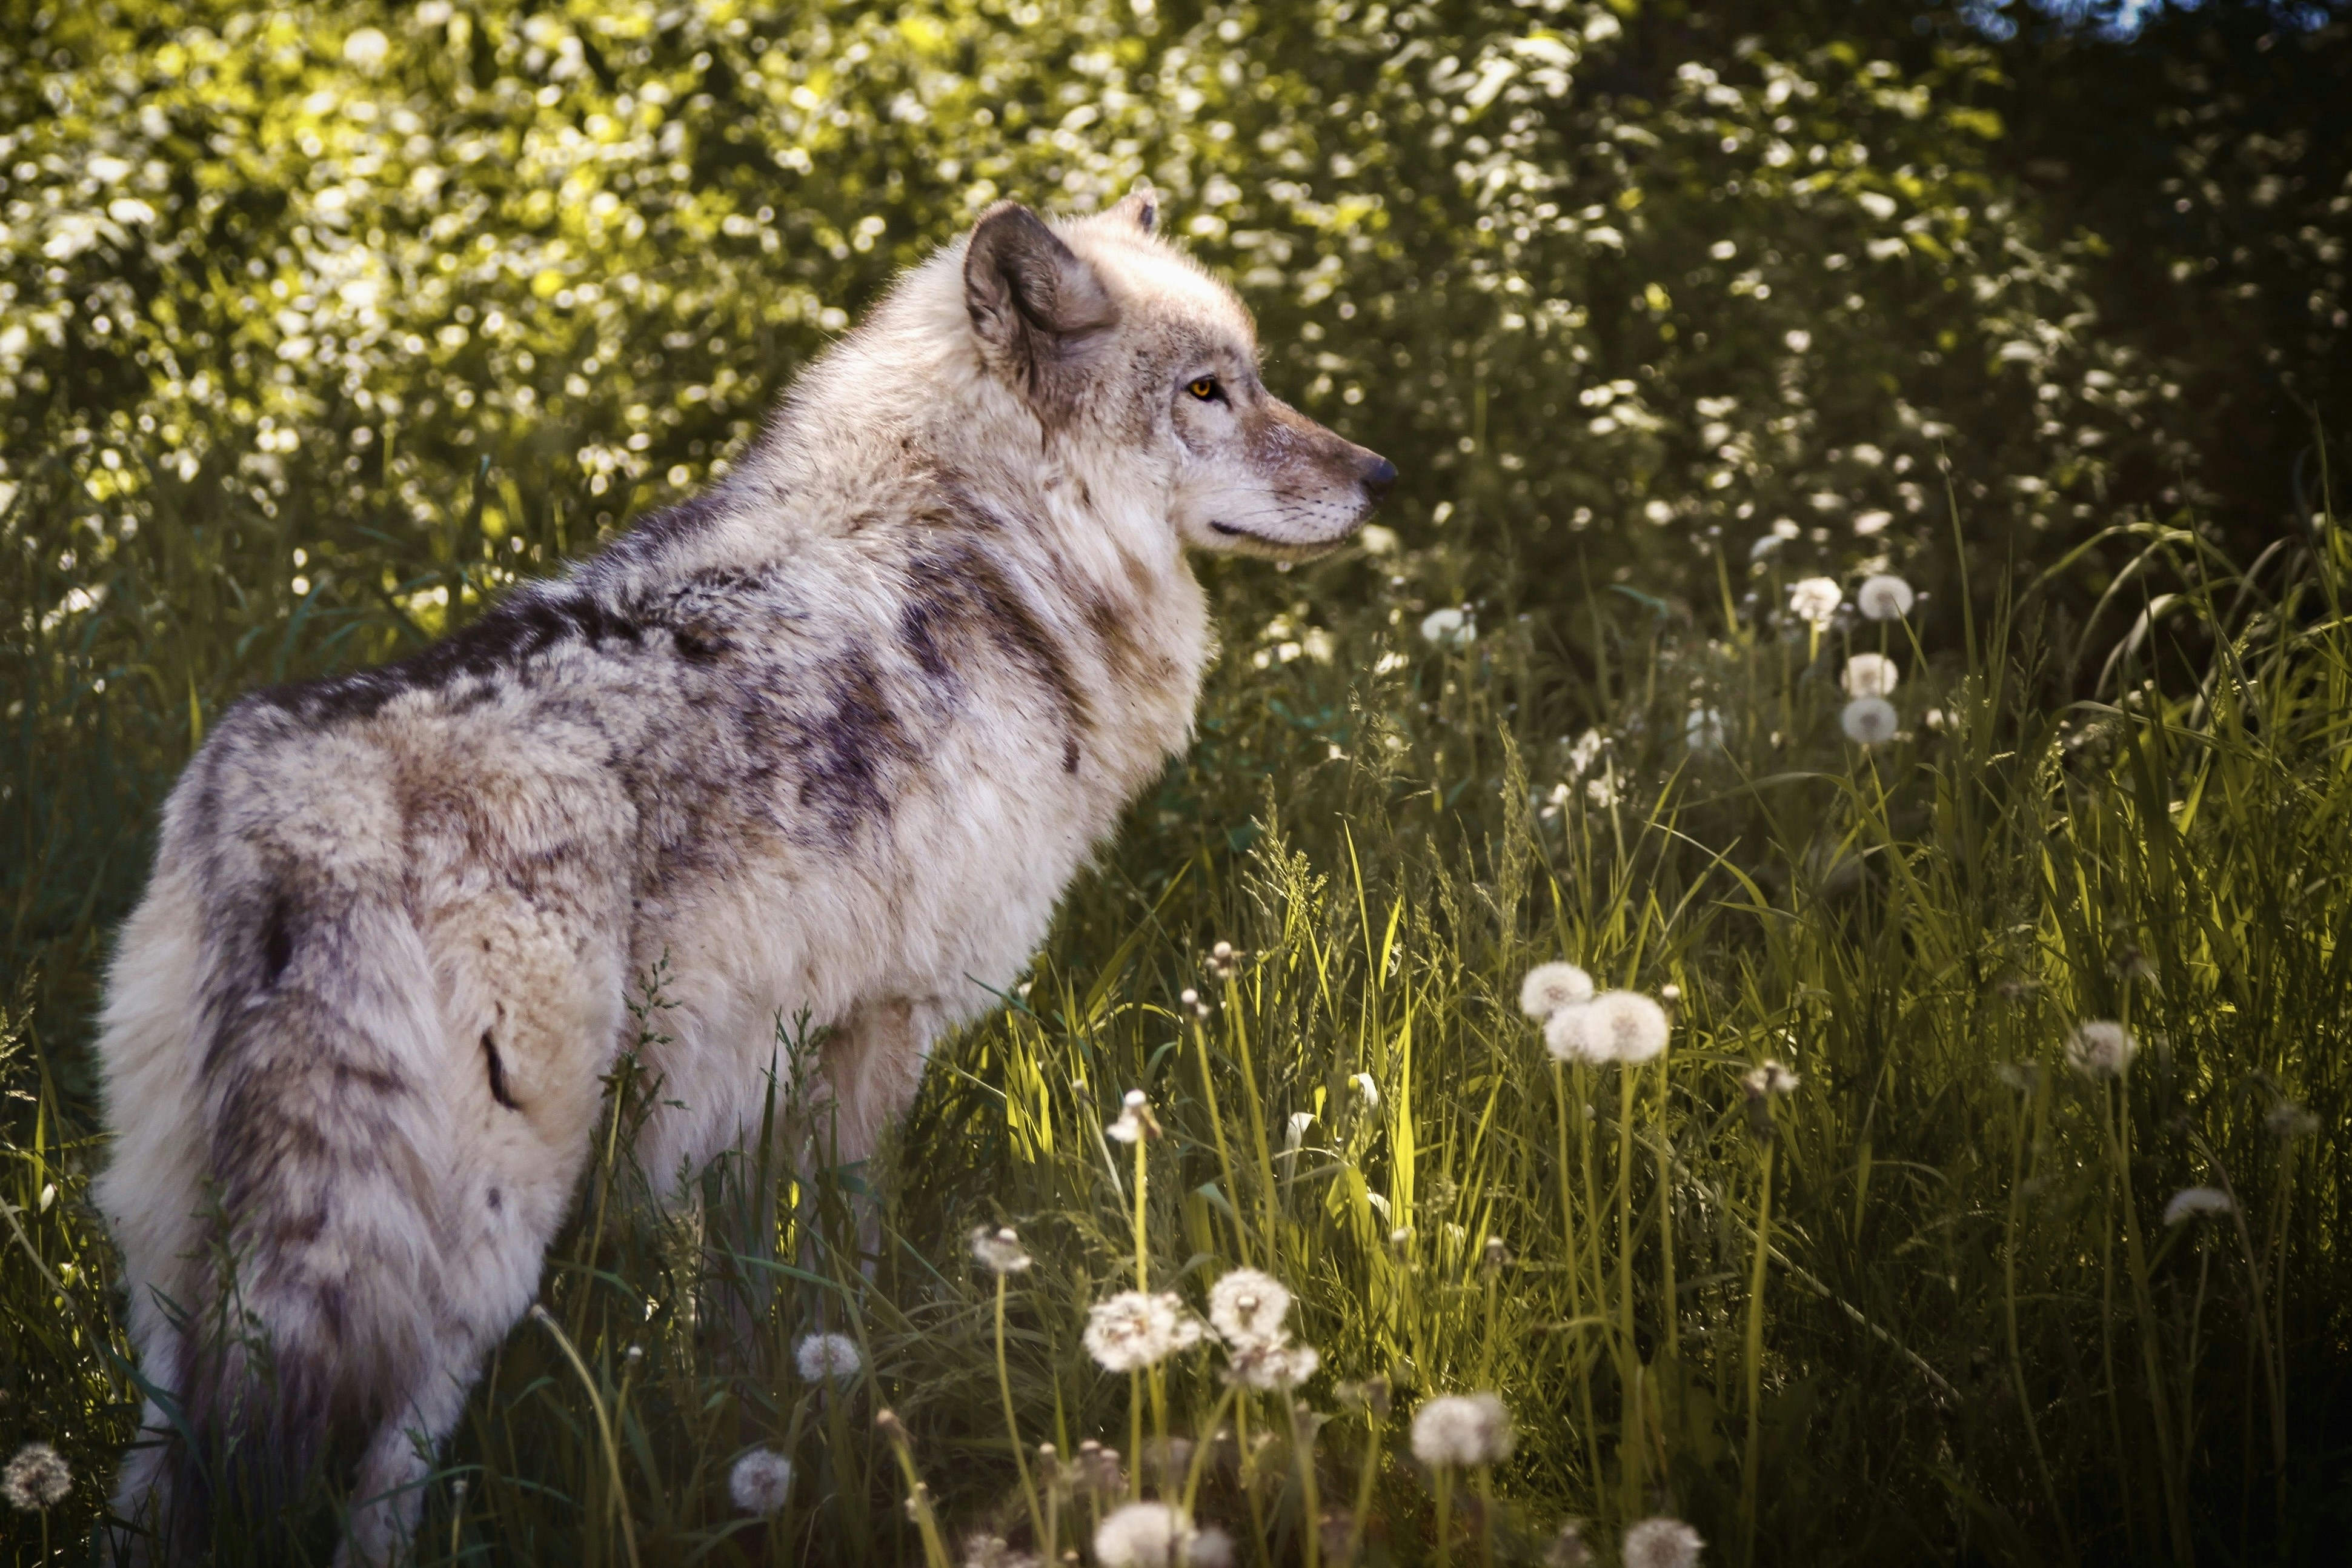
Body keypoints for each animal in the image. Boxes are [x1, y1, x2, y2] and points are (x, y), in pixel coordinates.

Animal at [91, 185, 1393, 1562]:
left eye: (1250, 379)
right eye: (1208, 391)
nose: (1381, 475)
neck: (992, 545)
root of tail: (309, 811)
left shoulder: (754, 1058)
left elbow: (743, 1303)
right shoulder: (879, 1024)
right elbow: (849, 1261)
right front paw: (860, 1410)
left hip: (181, 1261)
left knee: (154, 1479)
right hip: (476, 1240)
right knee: (381, 1482)